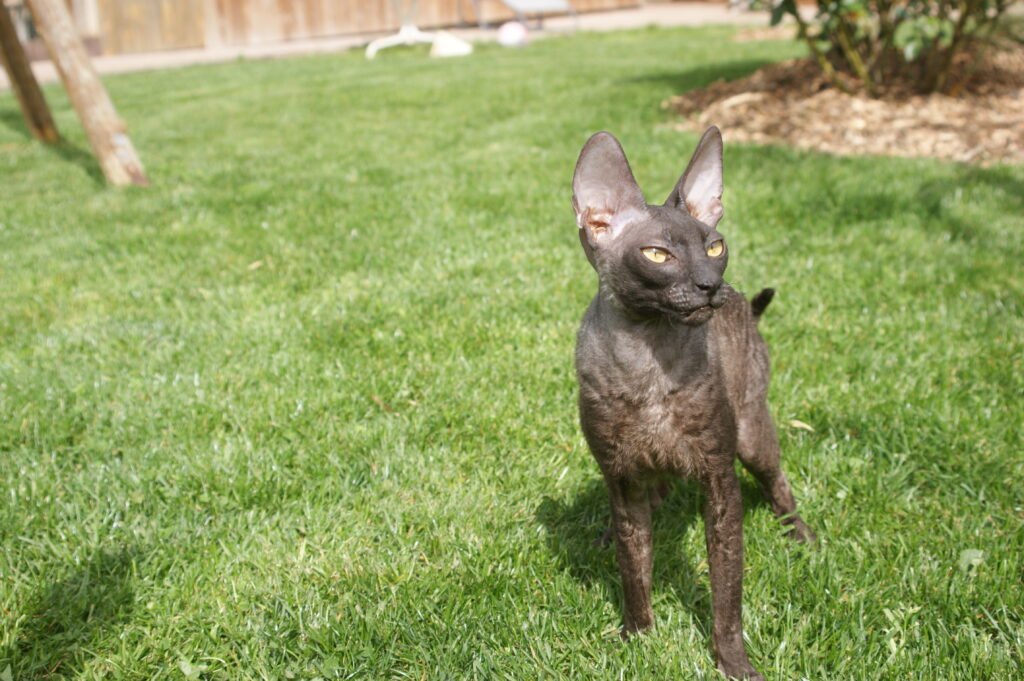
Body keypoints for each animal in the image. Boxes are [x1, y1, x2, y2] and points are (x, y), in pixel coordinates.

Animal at [573, 127, 811, 679]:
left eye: (716, 245)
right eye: (658, 255)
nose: (711, 284)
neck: (648, 366)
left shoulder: (719, 483)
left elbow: (727, 592)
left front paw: (733, 663)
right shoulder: (620, 478)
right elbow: (633, 567)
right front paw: (638, 638)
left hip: (751, 434)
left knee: (779, 481)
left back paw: (800, 534)